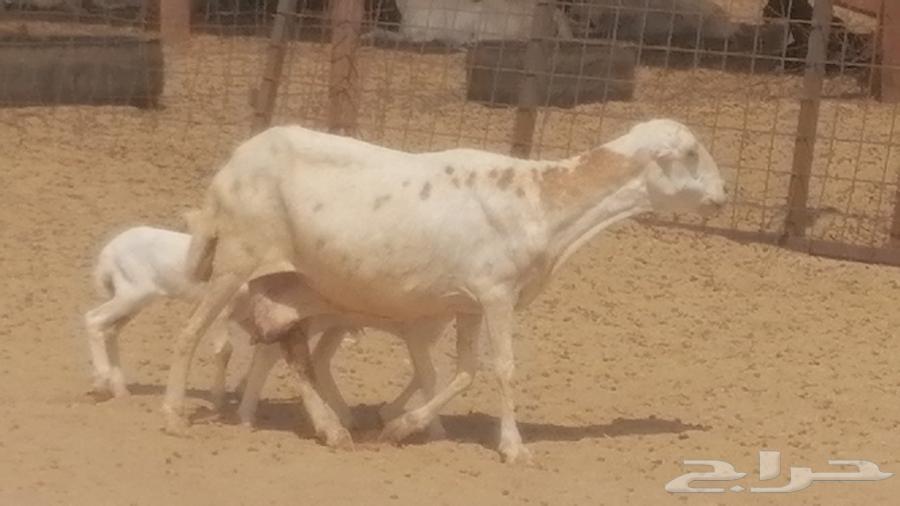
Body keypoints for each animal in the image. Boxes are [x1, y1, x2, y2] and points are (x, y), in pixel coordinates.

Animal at [161, 118, 727, 464]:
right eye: (691, 152)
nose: (725, 194)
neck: (545, 205)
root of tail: (232, 165)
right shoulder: (496, 293)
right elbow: (501, 369)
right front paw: (513, 448)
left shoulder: (469, 303)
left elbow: (462, 371)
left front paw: (402, 427)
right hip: (236, 261)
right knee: (191, 332)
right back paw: (173, 413)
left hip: (288, 283)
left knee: (290, 351)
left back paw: (331, 428)